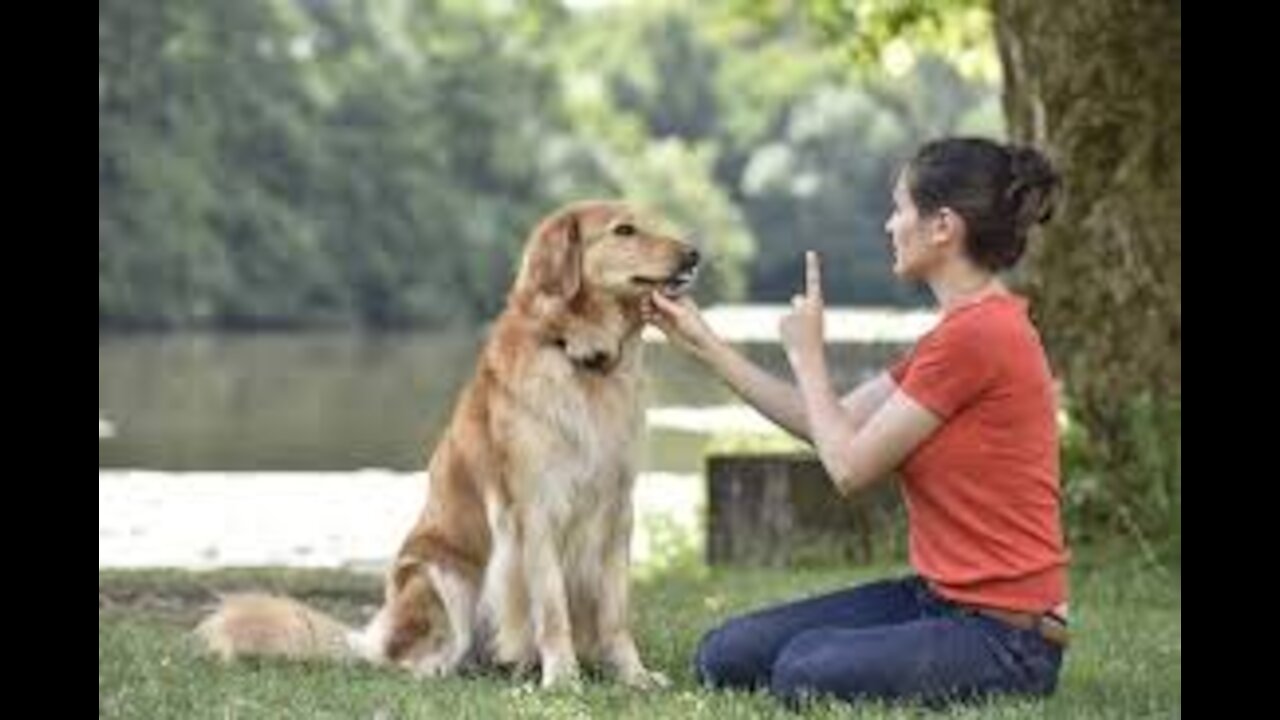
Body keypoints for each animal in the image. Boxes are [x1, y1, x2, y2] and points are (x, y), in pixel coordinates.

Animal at [193, 198, 701, 686]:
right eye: (624, 230)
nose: (694, 254)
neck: (579, 358)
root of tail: (371, 638)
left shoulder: (617, 509)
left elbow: (615, 613)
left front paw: (632, 675)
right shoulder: (535, 510)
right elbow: (552, 607)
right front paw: (561, 678)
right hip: (437, 574)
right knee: (408, 657)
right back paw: (445, 669)